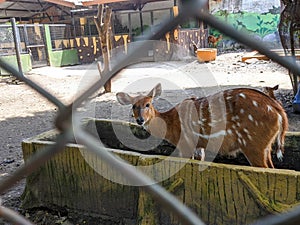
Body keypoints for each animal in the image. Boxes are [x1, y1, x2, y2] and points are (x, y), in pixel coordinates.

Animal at [116, 83, 288, 168]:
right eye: (133, 106)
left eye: (148, 104)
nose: (140, 120)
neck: (171, 126)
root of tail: (279, 112)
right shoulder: (199, 145)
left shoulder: (185, 143)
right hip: (265, 145)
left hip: (253, 143)